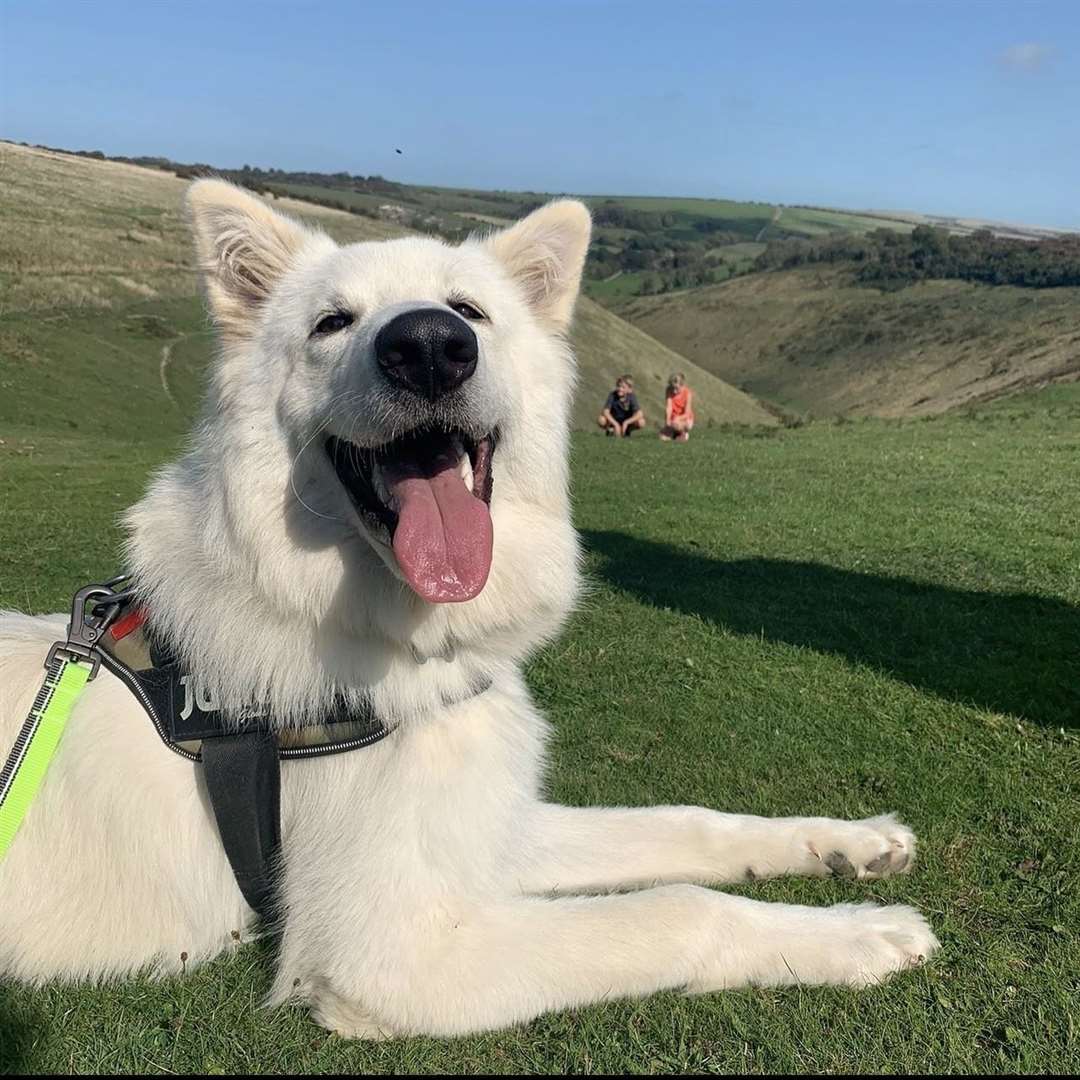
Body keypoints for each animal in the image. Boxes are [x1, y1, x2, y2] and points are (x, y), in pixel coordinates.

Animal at [0, 185, 937, 1036]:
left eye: (469, 312)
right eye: (332, 323)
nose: (427, 347)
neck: (402, 636)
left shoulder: (489, 835)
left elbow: (685, 823)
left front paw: (848, 844)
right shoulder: (393, 954)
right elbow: (680, 907)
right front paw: (866, 936)